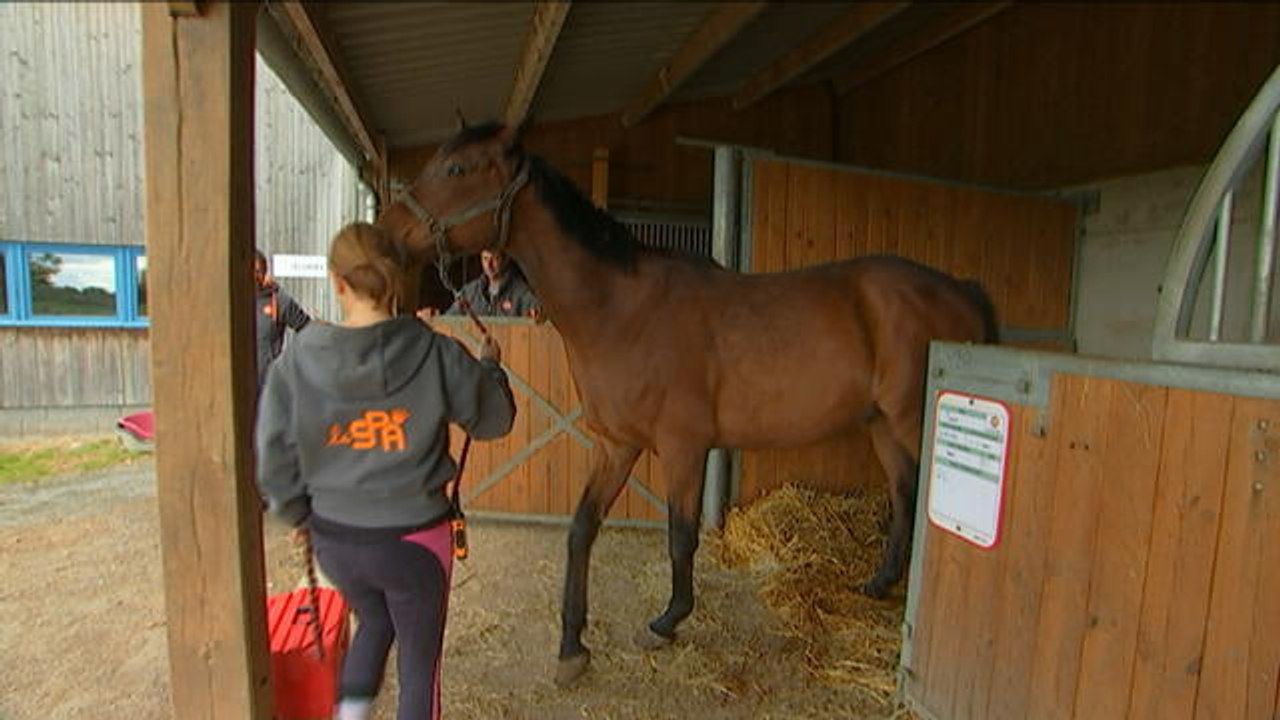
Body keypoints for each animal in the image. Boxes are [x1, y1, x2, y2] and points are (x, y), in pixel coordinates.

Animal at [377, 122, 999, 686]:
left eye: (457, 168)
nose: (384, 234)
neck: (622, 309)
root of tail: (961, 290)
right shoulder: (616, 446)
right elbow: (582, 529)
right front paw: (572, 645)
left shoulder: (684, 448)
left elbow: (681, 534)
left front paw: (668, 620)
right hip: (882, 424)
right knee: (904, 490)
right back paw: (878, 584)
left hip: (912, 420)